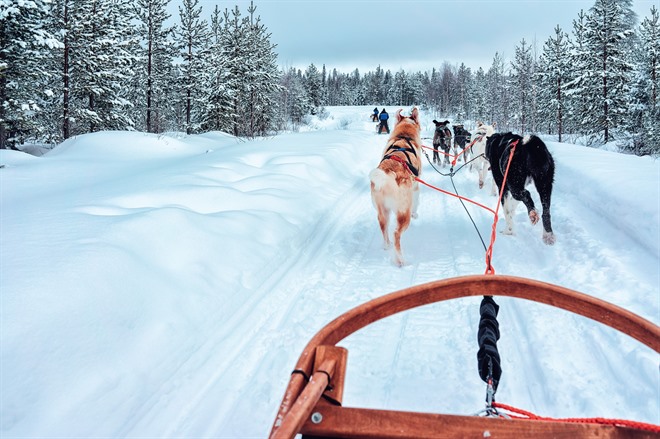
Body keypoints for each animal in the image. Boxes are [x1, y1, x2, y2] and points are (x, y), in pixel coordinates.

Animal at [372, 107, 422, 264]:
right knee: (396, 233)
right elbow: (416, 202)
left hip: (382, 211)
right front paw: (416, 213)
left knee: (384, 227)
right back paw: (401, 260)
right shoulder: (416, 187)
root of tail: (389, 174)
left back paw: (386, 245)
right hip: (403, 213)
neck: (404, 137)